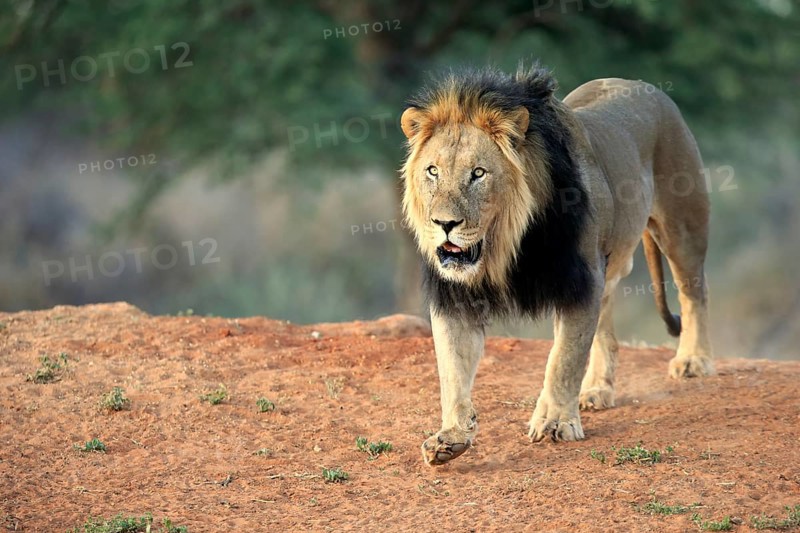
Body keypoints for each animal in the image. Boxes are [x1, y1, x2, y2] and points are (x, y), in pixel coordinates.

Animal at [399, 65, 713, 466]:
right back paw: (596, 390)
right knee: (606, 327)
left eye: (479, 173)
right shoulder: (455, 295)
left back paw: (693, 360)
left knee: (694, 293)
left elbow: (563, 358)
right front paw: (451, 436)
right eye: (433, 171)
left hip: (681, 226)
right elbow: (452, 367)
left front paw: (554, 423)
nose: (444, 224)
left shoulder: (579, 280)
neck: (504, 246)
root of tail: (643, 85)